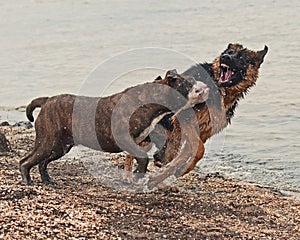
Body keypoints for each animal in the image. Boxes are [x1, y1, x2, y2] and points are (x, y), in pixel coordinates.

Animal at [20, 70, 209, 185]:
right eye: (188, 85)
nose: (205, 88)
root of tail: (46, 101)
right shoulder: (126, 139)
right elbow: (142, 158)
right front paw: (139, 175)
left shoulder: (138, 143)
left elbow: (137, 158)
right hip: (47, 143)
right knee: (26, 161)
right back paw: (27, 181)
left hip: (59, 147)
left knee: (42, 163)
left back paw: (47, 181)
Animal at [146, 43, 268, 188]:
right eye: (230, 52)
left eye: (241, 57)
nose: (224, 57)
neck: (218, 87)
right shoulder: (183, 120)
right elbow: (199, 150)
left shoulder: (201, 132)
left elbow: (189, 154)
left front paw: (175, 172)